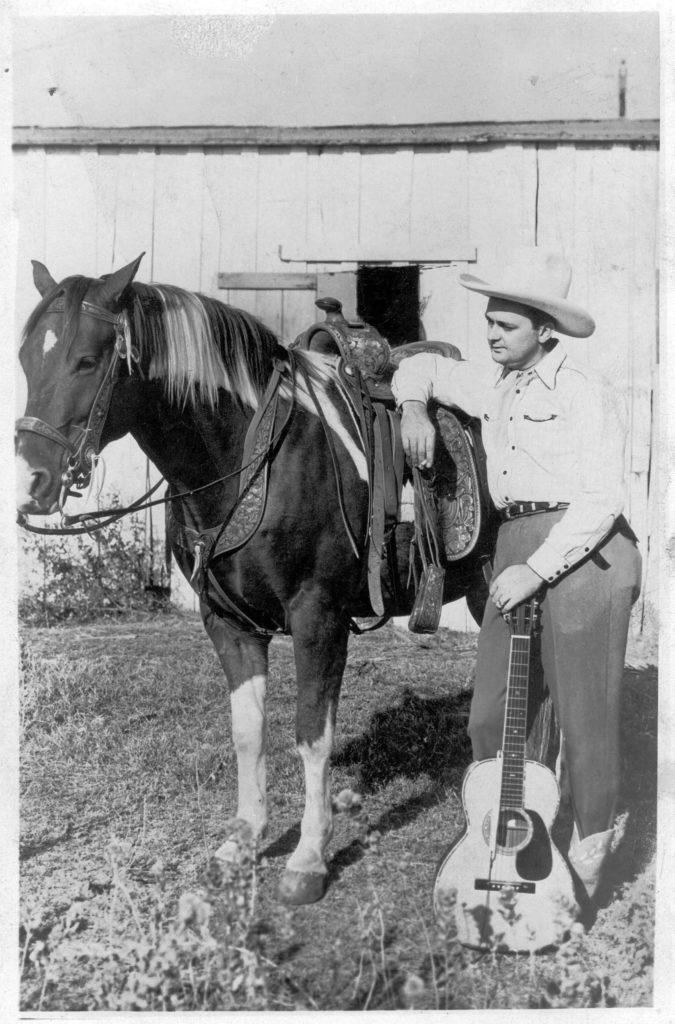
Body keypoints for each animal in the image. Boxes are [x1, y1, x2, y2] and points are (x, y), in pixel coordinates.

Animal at [16, 254, 488, 905]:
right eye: (24, 357)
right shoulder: (228, 624)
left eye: (87, 360)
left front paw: (308, 859)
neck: (251, 454)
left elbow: (312, 733)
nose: (30, 481)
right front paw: (242, 843)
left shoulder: (319, 619)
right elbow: (248, 731)